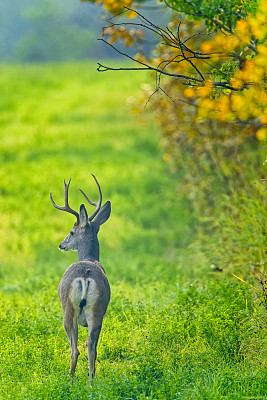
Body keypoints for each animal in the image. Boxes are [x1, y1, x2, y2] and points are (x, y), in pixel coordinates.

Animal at [50, 175, 111, 384]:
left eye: (71, 231)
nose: (61, 245)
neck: (89, 258)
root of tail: (84, 277)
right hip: (98, 310)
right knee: (91, 345)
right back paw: (92, 380)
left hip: (68, 310)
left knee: (75, 349)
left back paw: (70, 379)